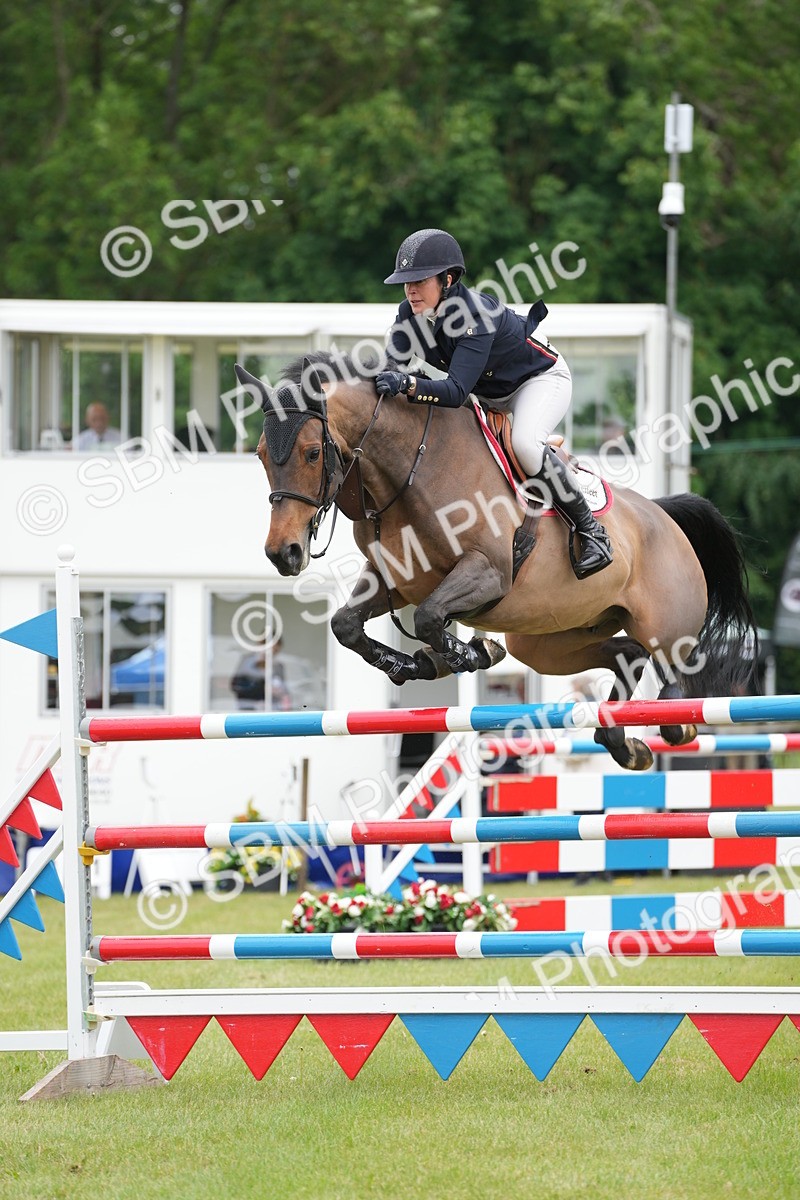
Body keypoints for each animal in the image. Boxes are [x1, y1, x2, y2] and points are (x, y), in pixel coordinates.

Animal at [236, 352, 758, 771]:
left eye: (311, 452)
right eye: (260, 455)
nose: (283, 553)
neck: (411, 469)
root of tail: (663, 515)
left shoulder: (487, 572)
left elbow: (430, 618)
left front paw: (471, 653)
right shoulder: (396, 580)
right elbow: (347, 624)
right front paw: (416, 663)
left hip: (666, 630)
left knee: (672, 687)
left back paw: (671, 727)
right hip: (549, 643)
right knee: (626, 654)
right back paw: (624, 745)